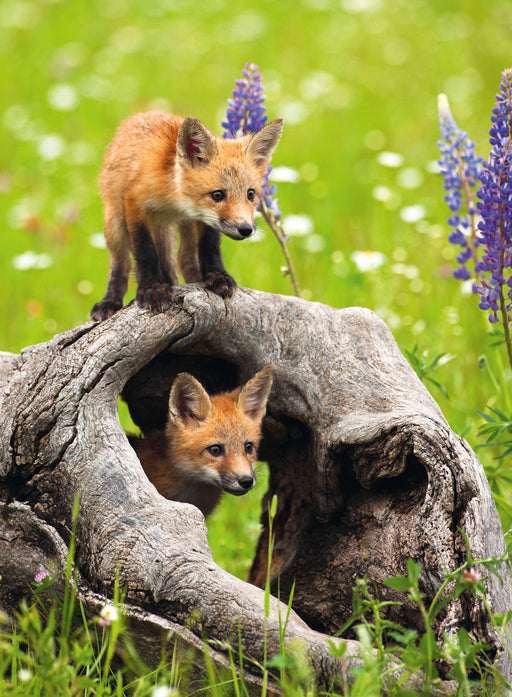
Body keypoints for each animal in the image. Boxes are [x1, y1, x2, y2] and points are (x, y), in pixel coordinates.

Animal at [90, 111, 284, 321]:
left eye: (251, 194)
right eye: (217, 195)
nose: (246, 229)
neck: (174, 199)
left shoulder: (204, 219)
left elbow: (209, 247)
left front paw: (218, 276)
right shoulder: (134, 202)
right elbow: (145, 251)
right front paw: (152, 288)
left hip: (186, 227)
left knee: (184, 259)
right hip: (115, 222)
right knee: (121, 264)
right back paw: (110, 301)